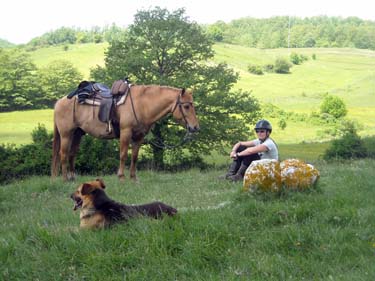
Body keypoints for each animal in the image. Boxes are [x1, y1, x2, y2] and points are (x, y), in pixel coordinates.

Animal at [51, 84, 201, 180]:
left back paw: (72, 178)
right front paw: (121, 177)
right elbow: (123, 155)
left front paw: (133, 178)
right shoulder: (125, 132)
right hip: (66, 134)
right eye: (186, 106)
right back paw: (64, 179)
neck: (141, 104)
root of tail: (59, 102)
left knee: (72, 154)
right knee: (63, 154)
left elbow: (134, 156)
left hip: (77, 134)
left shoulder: (139, 137)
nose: (195, 127)